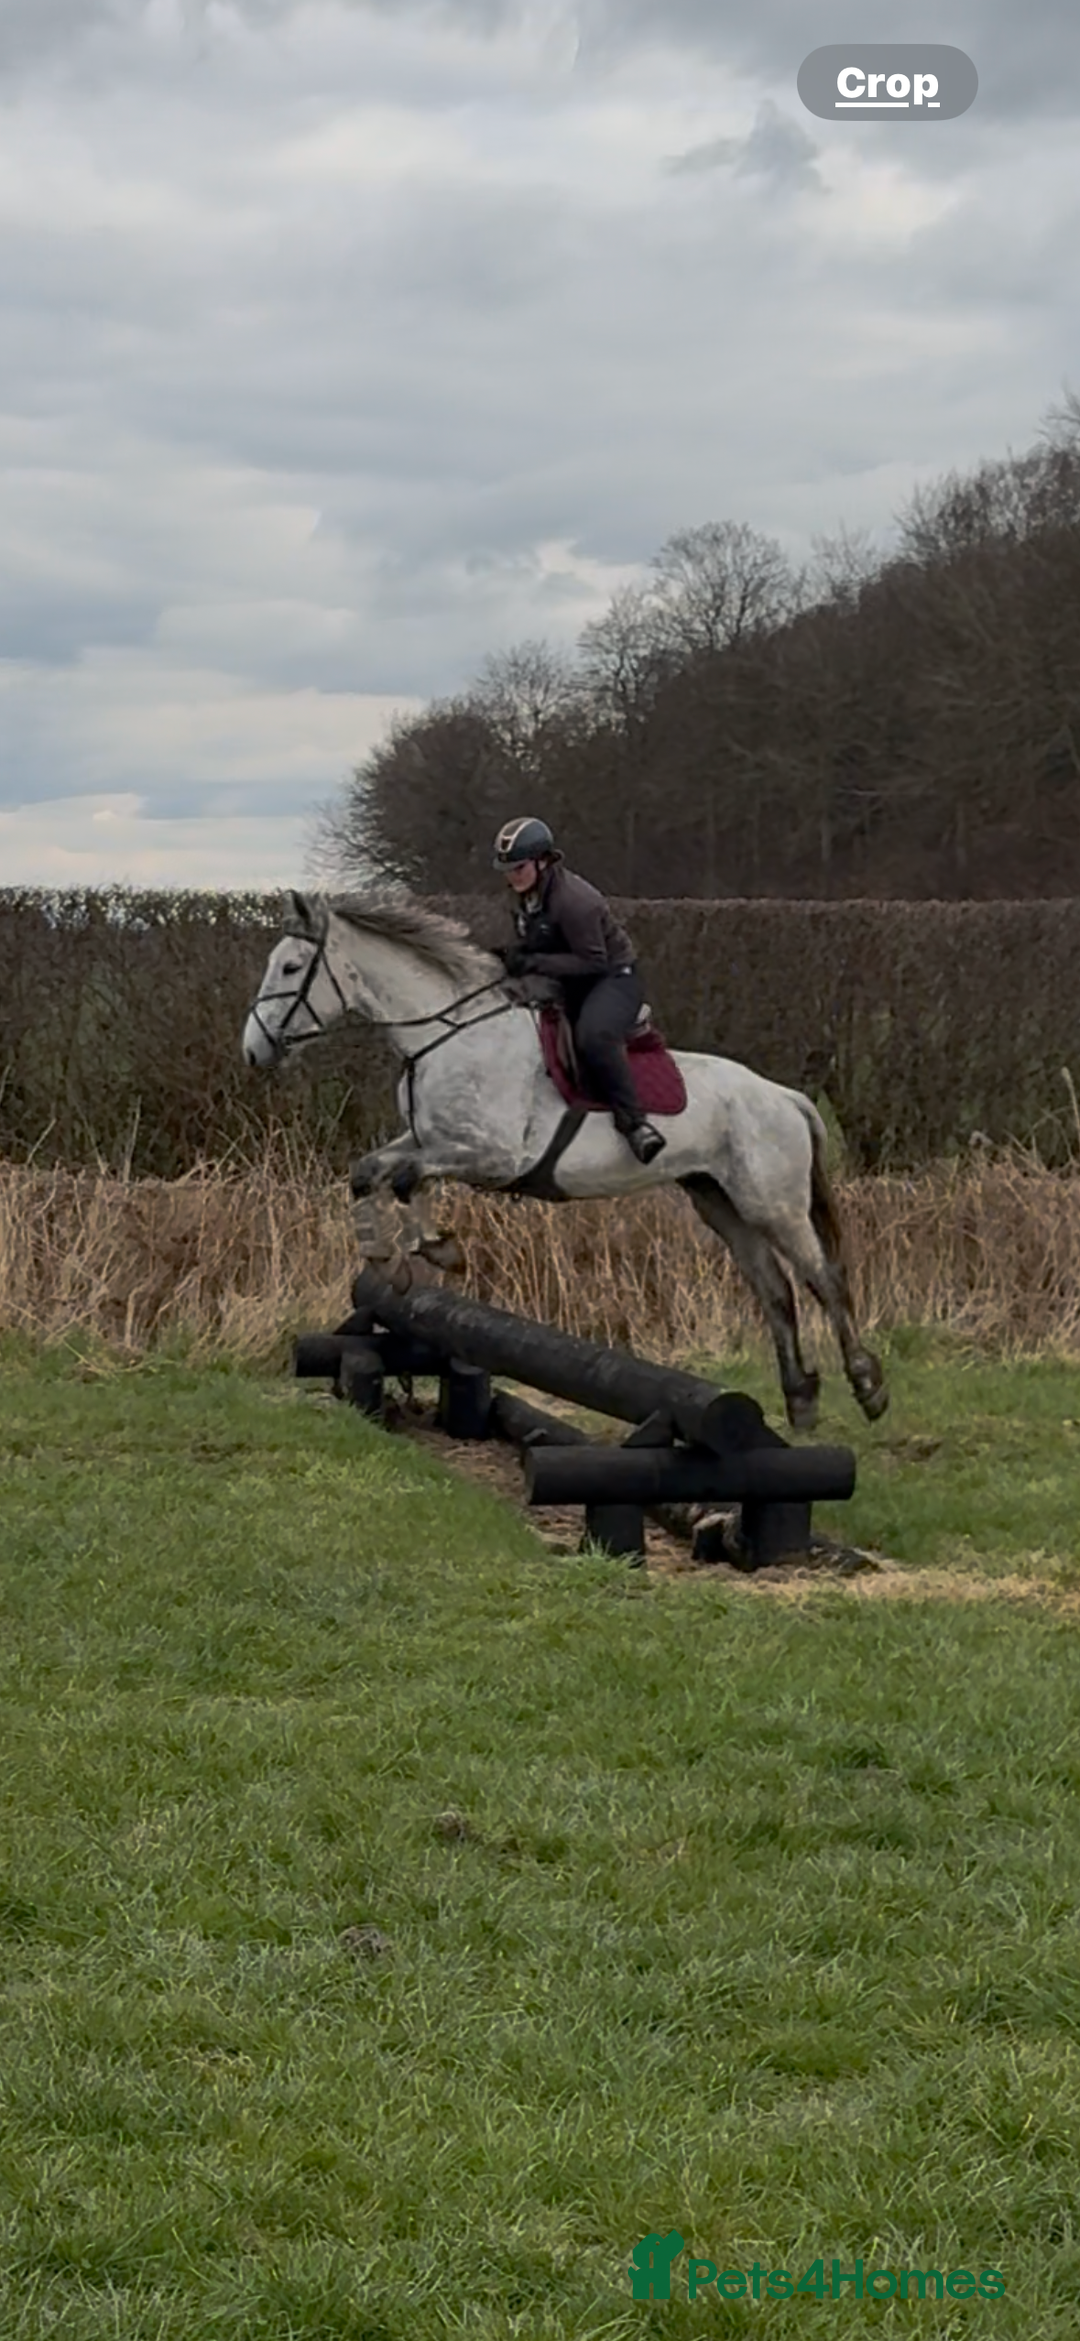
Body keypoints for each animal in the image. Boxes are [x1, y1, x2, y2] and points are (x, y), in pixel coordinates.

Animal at [242, 889, 887, 1431]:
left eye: (292, 968)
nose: (253, 1050)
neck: (447, 1037)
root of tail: (785, 1097)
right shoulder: (428, 1139)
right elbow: (371, 1173)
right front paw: (392, 1255)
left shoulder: (492, 1154)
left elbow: (404, 1177)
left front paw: (431, 1250)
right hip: (719, 1202)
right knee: (775, 1289)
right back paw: (800, 1400)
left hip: (772, 1202)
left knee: (823, 1279)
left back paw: (867, 1387)